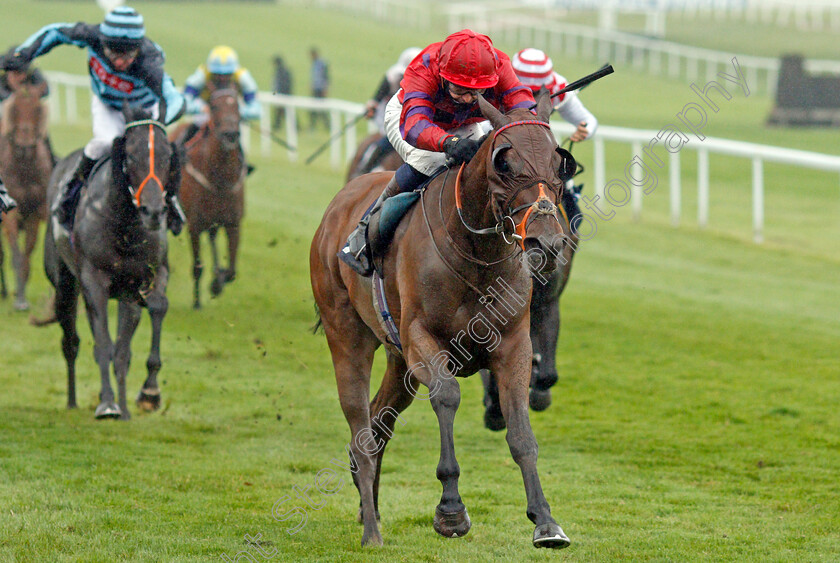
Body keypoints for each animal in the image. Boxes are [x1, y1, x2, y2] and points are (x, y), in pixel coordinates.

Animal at [40, 108, 181, 420]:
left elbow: (135, 335)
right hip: (65, 283)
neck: (126, 227)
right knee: (71, 342)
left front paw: (146, 395)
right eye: (130, 156)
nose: (154, 211)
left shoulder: (143, 279)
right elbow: (104, 344)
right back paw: (72, 401)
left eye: (167, 156)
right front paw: (107, 404)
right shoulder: (94, 281)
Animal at [171, 86, 246, 310]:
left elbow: (231, 272)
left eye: (237, 105)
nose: (230, 134)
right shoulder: (194, 224)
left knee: (213, 239)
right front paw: (197, 302)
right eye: (213, 106)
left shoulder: (233, 223)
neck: (219, 178)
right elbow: (197, 267)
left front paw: (216, 283)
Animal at [312, 91, 580, 548]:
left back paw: (372, 510)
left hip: (398, 360)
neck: (477, 253)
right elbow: (448, 396)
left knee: (378, 424)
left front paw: (545, 520)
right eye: (504, 163)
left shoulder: (513, 344)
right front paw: (451, 510)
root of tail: (337, 205)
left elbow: (521, 433)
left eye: (559, 162)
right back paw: (371, 533)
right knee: (360, 428)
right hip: (346, 334)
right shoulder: (423, 339)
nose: (546, 242)